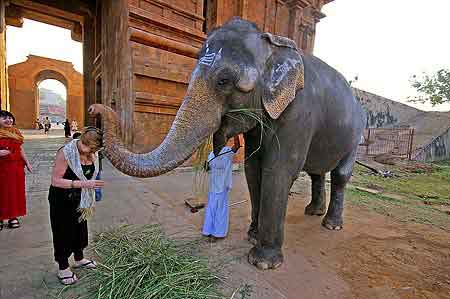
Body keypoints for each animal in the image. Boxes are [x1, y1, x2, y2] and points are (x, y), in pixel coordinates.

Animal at [89, 18, 368, 272]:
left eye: (223, 81)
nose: (95, 108)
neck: (272, 44)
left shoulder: (299, 113)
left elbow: (278, 170)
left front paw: (263, 262)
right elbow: (253, 168)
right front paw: (252, 236)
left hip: (356, 134)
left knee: (341, 174)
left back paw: (331, 224)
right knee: (316, 172)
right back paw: (313, 212)